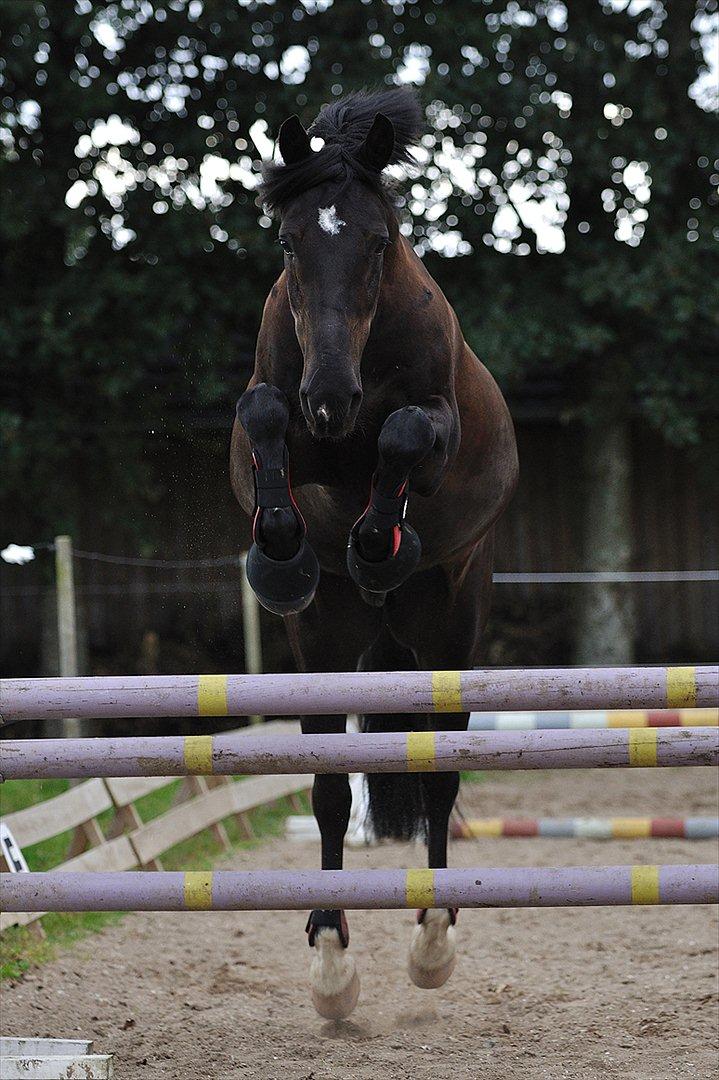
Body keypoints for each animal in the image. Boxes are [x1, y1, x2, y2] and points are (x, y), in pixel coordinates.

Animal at [229, 88, 516, 1015]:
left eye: (376, 241)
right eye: (289, 242)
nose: (330, 399)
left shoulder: (430, 425)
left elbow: (401, 433)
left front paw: (379, 542)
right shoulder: (284, 420)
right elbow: (263, 419)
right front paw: (281, 552)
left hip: (448, 638)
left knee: (438, 779)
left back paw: (432, 941)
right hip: (323, 647)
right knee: (328, 789)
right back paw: (330, 953)